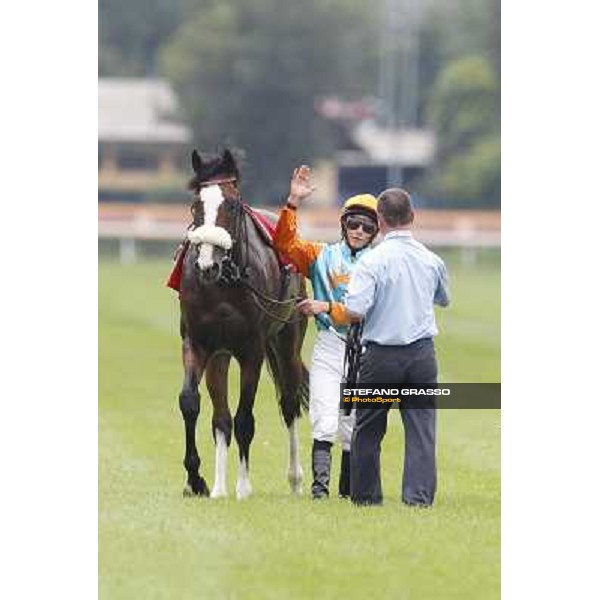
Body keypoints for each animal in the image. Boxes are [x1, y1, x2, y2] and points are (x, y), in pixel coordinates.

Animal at [177, 148, 310, 500]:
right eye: (196, 205)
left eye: (233, 205)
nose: (206, 264)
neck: (223, 283)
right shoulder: (201, 344)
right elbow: (193, 404)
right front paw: (200, 481)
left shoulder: (253, 350)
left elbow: (245, 418)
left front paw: (243, 486)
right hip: (221, 356)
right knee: (221, 418)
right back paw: (219, 485)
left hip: (288, 340)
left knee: (289, 403)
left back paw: (295, 478)